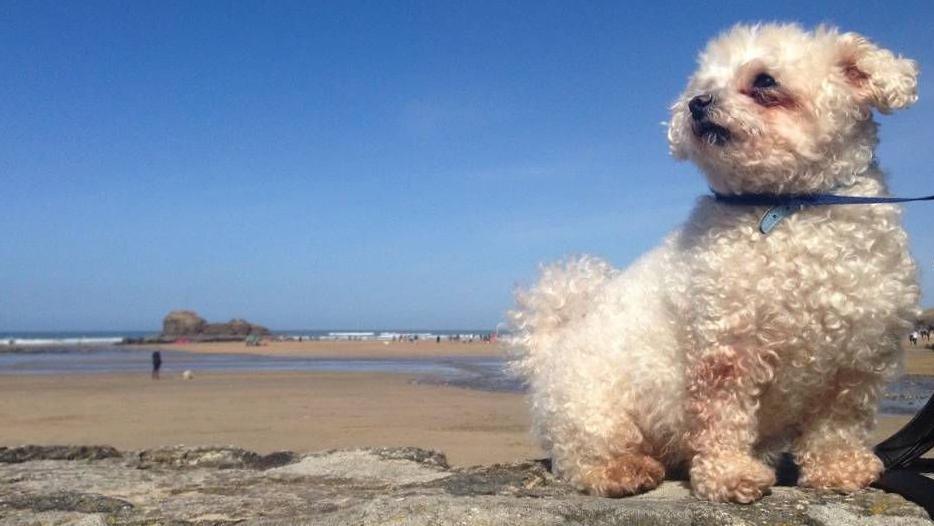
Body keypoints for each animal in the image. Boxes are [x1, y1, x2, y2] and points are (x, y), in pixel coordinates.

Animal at [512, 22, 920, 506]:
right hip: (595, 407)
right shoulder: (727, 348)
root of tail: (552, 348)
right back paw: (622, 470)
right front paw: (729, 476)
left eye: (764, 81)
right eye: (702, 85)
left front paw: (839, 470)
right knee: (581, 456)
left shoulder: (858, 359)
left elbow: (839, 424)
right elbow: (723, 419)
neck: (790, 205)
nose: (697, 104)